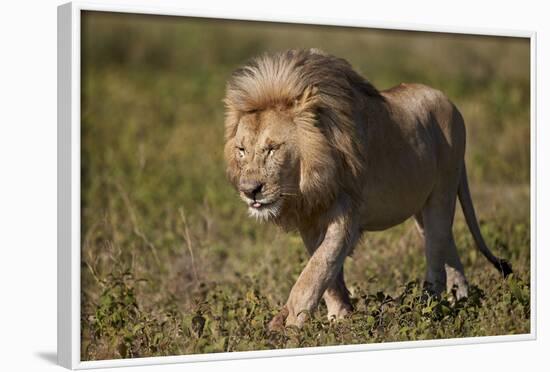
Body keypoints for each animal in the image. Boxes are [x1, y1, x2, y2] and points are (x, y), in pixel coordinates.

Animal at [222, 48, 516, 328]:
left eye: (272, 148)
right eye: (241, 150)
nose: (250, 190)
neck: (306, 184)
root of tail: (449, 101)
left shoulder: (346, 216)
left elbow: (314, 271)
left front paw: (289, 328)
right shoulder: (309, 220)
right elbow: (328, 277)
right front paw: (340, 318)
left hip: (442, 192)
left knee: (435, 256)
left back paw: (426, 310)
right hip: (422, 207)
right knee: (447, 246)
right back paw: (461, 300)